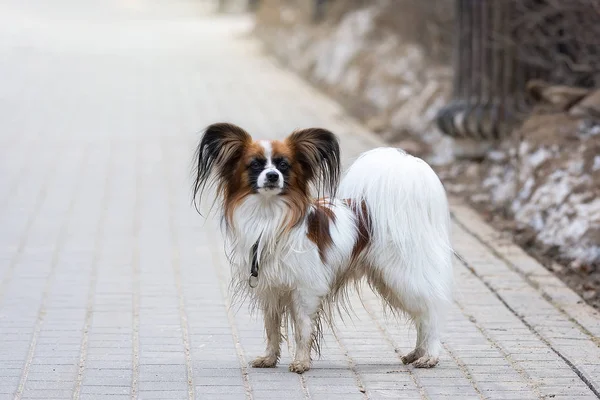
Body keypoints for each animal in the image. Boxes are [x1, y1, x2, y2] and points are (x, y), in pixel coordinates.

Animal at [192, 123, 450, 374]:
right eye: (255, 164)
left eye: (283, 165)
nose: (273, 176)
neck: (269, 215)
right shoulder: (270, 288)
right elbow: (271, 327)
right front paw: (269, 358)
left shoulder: (305, 289)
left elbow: (302, 329)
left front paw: (301, 363)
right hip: (389, 282)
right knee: (421, 316)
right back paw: (417, 353)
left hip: (402, 276)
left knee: (431, 312)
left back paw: (430, 356)